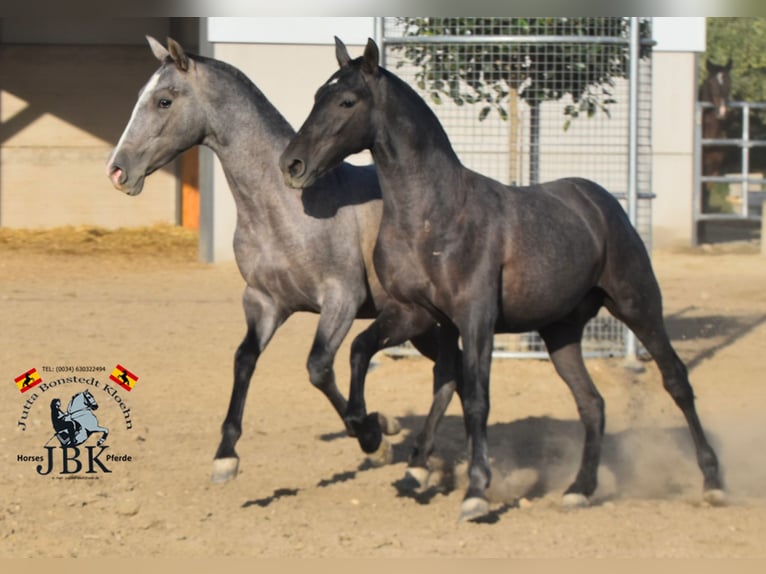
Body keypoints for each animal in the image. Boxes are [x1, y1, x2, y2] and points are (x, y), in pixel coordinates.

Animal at [107, 36, 456, 486]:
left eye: (164, 100)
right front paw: (226, 456)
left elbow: (319, 367)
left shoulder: (341, 300)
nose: (117, 171)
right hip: (423, 326)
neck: (288, 208)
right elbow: (244, 360)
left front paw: (374, 437)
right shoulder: (264, 302)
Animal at [282, 36, 728, 520]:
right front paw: (376, 435)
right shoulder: (419, 315)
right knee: (592, 403)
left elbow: (476, 397)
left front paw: (476, 491)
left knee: (676, 380)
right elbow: (381, 359)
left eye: (346, 100)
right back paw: (579, 489)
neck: (433, 217)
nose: (292, 164)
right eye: (317, 96)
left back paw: (713, 483)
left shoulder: (476, 318)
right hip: (561, 332)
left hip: (637, 304)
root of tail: (600, 201)